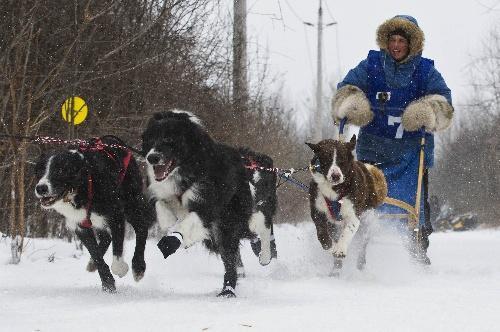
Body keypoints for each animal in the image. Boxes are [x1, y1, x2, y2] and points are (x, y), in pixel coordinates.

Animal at [34, 136, 155, 292]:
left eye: (59, 170)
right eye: (40, 170)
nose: (41, 188)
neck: (82, 186)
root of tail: (114, 139)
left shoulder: (115, 216)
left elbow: (117, 249)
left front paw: (120, 268)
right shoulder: (80, 225)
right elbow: (96, 254)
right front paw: (108, 283)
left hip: (130, 203)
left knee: (141, 227)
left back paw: (138, 267)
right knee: (106, 237)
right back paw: (92, 264)